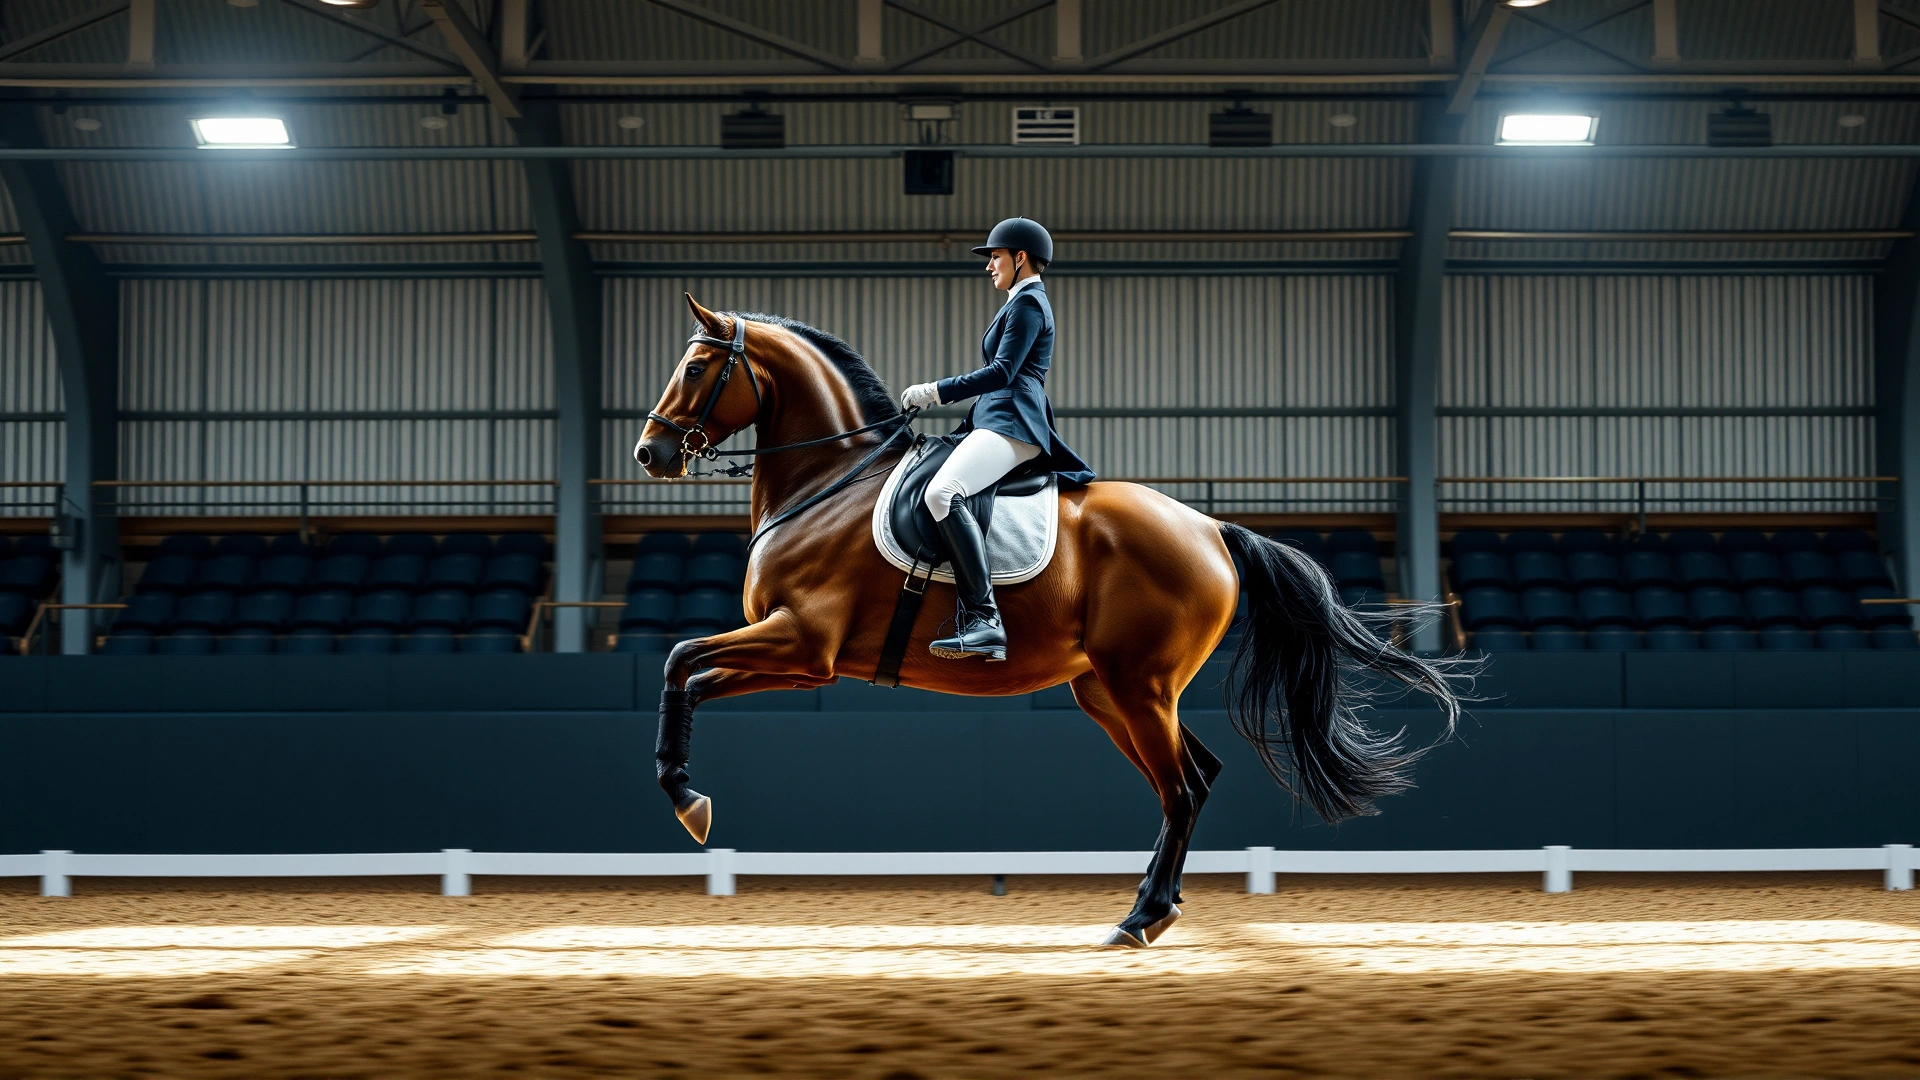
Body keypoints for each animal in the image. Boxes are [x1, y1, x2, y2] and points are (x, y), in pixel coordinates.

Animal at [632, 295, 1465, 948]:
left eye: (697, 369)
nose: (650, 452)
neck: (831, 482)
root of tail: (1209, 529)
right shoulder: (800, 658)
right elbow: (689, 672)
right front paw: (686, 795)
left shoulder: (805, 643)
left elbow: (678, 658)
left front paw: (685, 799)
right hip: (1113, 693)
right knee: (1193, 780)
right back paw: (1156, 908)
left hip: (1139, 688)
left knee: (1181, 789)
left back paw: (1140, 919)